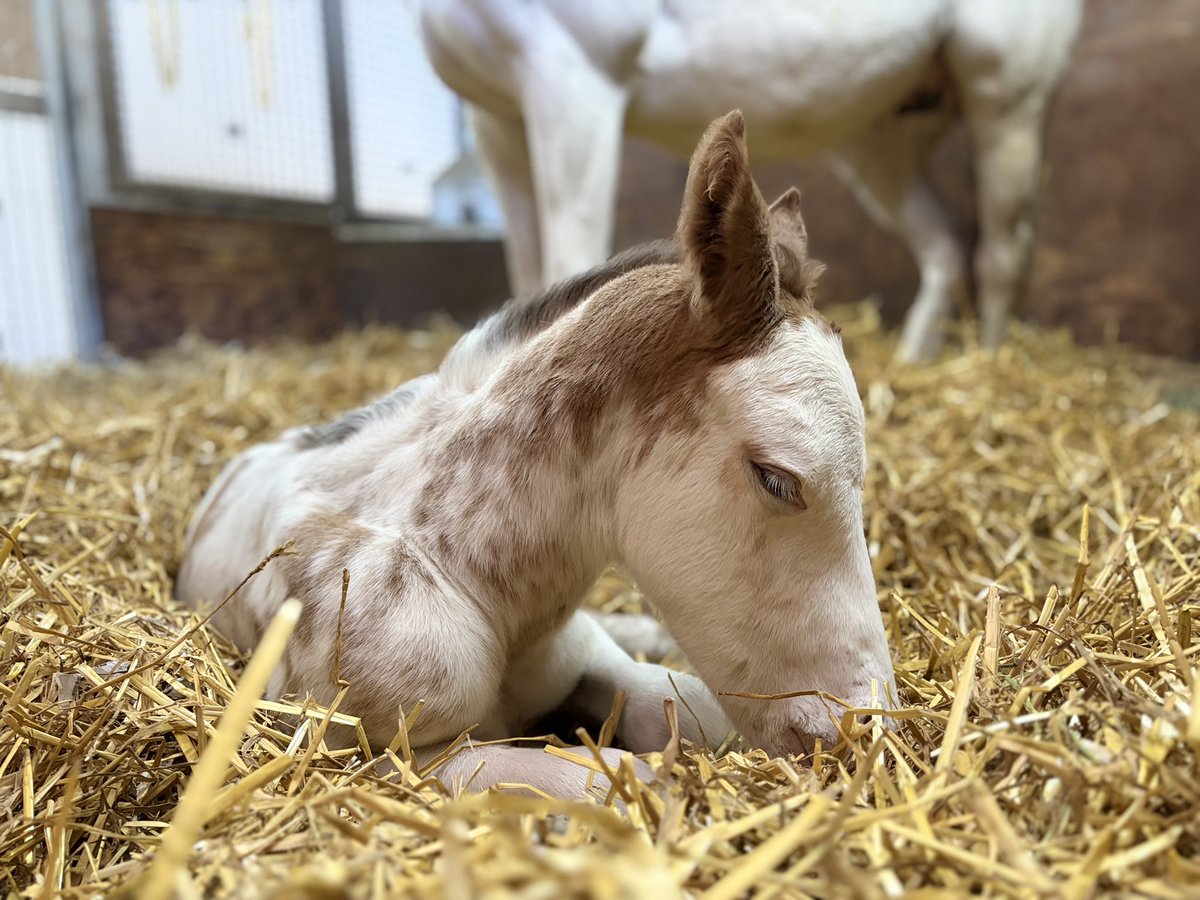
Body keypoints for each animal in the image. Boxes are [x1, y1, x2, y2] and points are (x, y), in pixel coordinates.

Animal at [176, 111, 896, 799]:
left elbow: (687, 710)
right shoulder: (370, 754)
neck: (484, 589)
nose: (858, 727)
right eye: (775, 479)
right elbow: (622, 781)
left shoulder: (583, 656)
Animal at [416, 0, 1084, 362]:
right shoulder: (497, 117)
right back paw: (917, 361)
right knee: (944, 243)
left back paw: (989, 363)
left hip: (1006, 97)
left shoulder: (572, 78)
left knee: (1002, 252)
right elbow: (527, 273)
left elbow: (569, 260)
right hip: (880, 137)